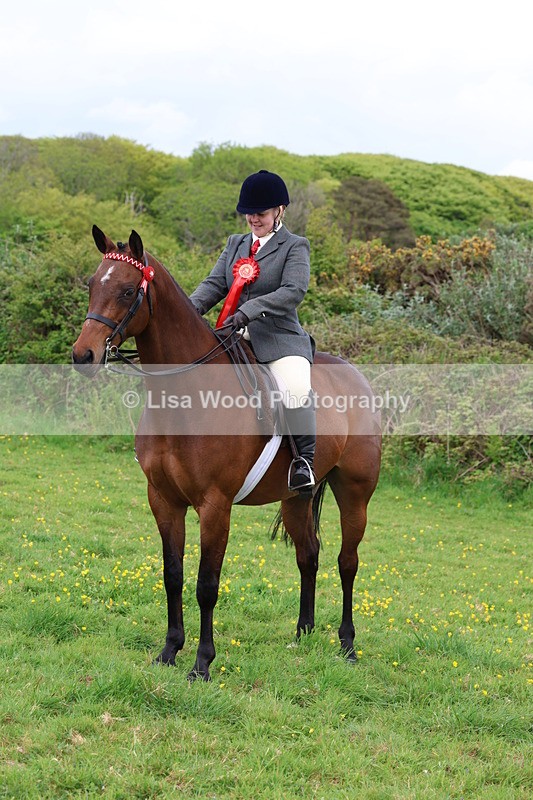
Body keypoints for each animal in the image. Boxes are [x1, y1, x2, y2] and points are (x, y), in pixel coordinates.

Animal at [72, 226, 381, 681]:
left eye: (129, 291)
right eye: (93, 285)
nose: (83, 356)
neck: (184, 397)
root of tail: (356, 376)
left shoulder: (214, 505)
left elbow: (206, 584)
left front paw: (202, 663)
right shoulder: (163, 499)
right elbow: (173, 574)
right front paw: (169, 650)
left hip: (355, 493)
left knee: (348, 562)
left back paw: (347, 644)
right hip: (295, 498)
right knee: (308, 555)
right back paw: (303, 633)